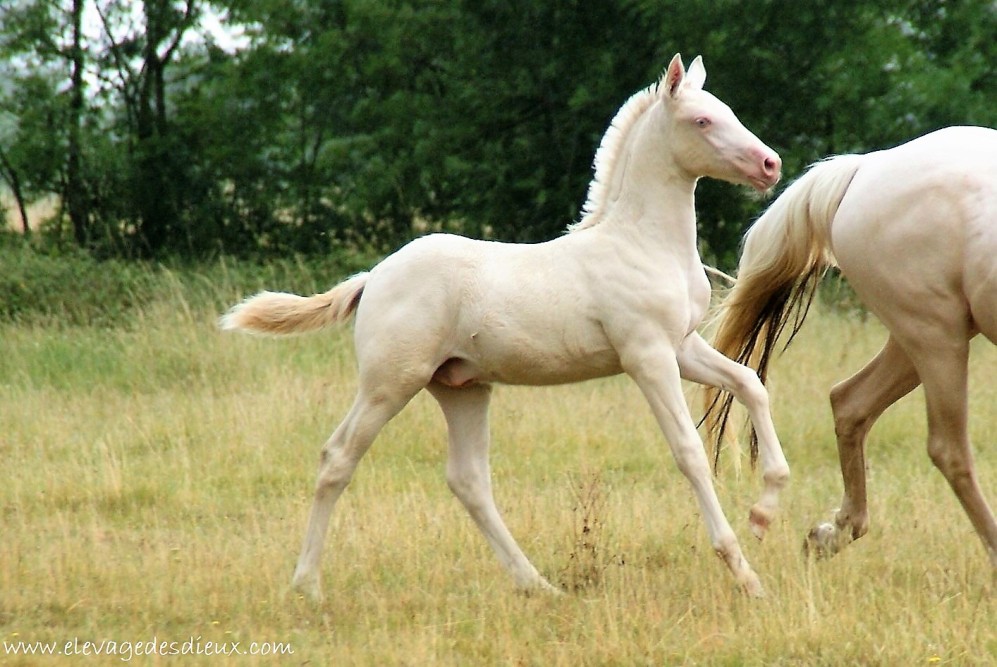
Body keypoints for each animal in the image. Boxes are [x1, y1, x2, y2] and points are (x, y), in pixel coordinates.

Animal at [224, 56, 784, 600]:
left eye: (727, 110)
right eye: (702, 120)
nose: (770, 164)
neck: (641, 241)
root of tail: (373, 277)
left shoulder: (683, 347)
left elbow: (750, 384)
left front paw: (765, 510)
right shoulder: (647, 356)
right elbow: (689, 452)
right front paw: (744, 572)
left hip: (461, 387)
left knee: (468, 480)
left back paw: (538, 585)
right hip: (390, 383)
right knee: (337, 458)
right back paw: (308, 585)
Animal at [704, 128, 996, 572]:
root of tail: (866, 167)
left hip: (922, 338)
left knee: (850, 402)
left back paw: (828, 535)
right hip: (935, 335)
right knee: (949, 450)